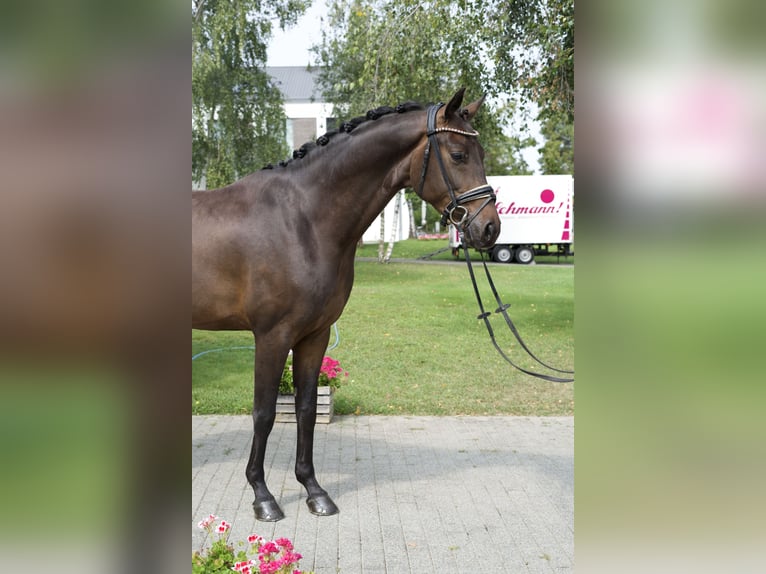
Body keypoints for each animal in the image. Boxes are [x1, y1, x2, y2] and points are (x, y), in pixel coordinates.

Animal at [195, 89, 500, 520]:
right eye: (458, 154)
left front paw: (314, 490)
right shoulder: (272, 336)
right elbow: (265, 413)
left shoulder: (314, 335)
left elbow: (306, 409)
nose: (489, 228)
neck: (302, 220)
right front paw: (263, 496)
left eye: (482, 153)